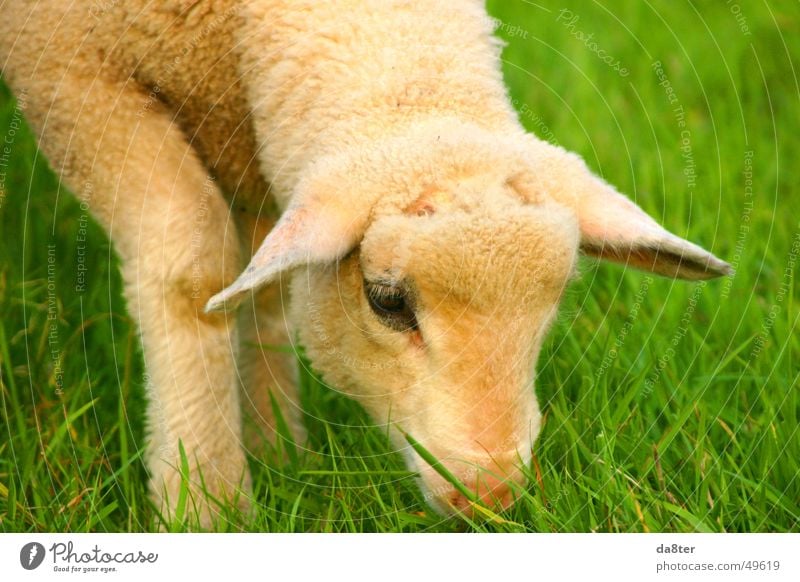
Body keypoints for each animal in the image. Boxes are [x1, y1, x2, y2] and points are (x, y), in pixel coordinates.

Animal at [0, 0, 732, 528]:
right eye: (387, 301)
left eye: (550, 306)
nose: (491, 497)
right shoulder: (71, 74)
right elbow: (193, 264)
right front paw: (206, 506)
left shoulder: (253, 129)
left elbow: (266, 288)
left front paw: (279, 454)